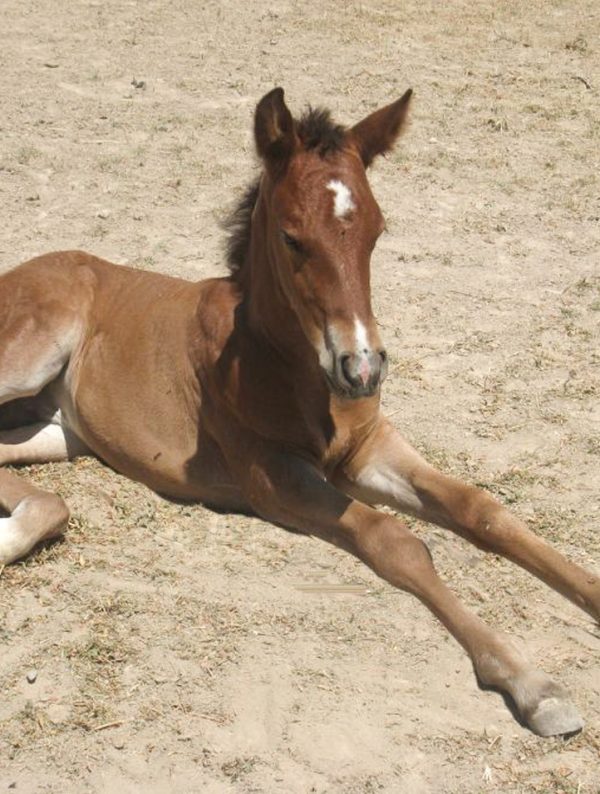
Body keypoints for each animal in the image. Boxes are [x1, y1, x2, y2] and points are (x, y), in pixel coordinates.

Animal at [0, 88, 597, 737]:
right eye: (291, 238)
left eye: (378, 231)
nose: (362, 368)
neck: (283, 364)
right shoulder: (271, 478)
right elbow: (394, 540)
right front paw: (531, 682)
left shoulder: (369, 448)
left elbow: (481, 508)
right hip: (30, 355)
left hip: (60, 431)